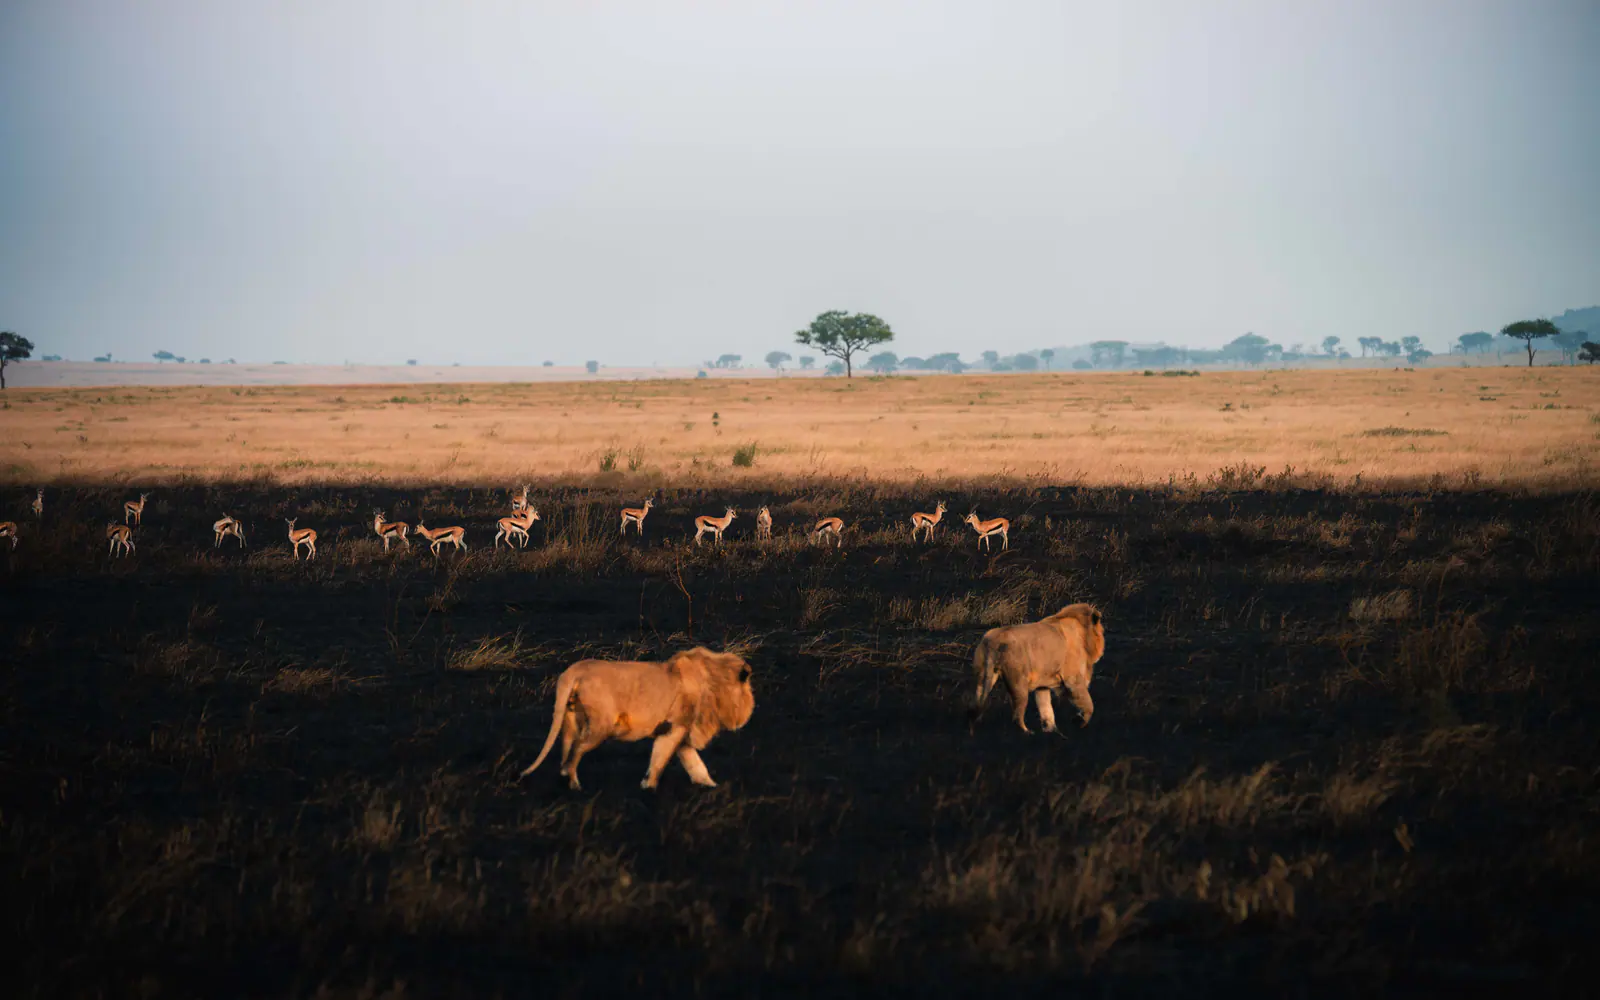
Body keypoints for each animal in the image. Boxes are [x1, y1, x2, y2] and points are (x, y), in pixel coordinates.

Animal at [520, 647, 755, 790]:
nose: (750, 711)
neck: (714, 682)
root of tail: (574, 671)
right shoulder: (675, 726)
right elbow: (660, 759)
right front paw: (649, 786)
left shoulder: (681, 731)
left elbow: (695, 764)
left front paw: (711, 787)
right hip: (601, 725)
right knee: (577, 749)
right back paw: (575, 785)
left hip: (570, 718)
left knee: (566, 746)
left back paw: (564, 780)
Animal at [970, 603, 1104, 733]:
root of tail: (993, 641)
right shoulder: (1073, 680)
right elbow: (1089, 704)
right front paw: (1080, 723)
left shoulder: (1042, 685)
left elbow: (1046, 709)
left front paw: (1051, 731)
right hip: (1019, 683)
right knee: (1017, 716)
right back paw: (1028, 734)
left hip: (984, 677)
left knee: (978, 704)